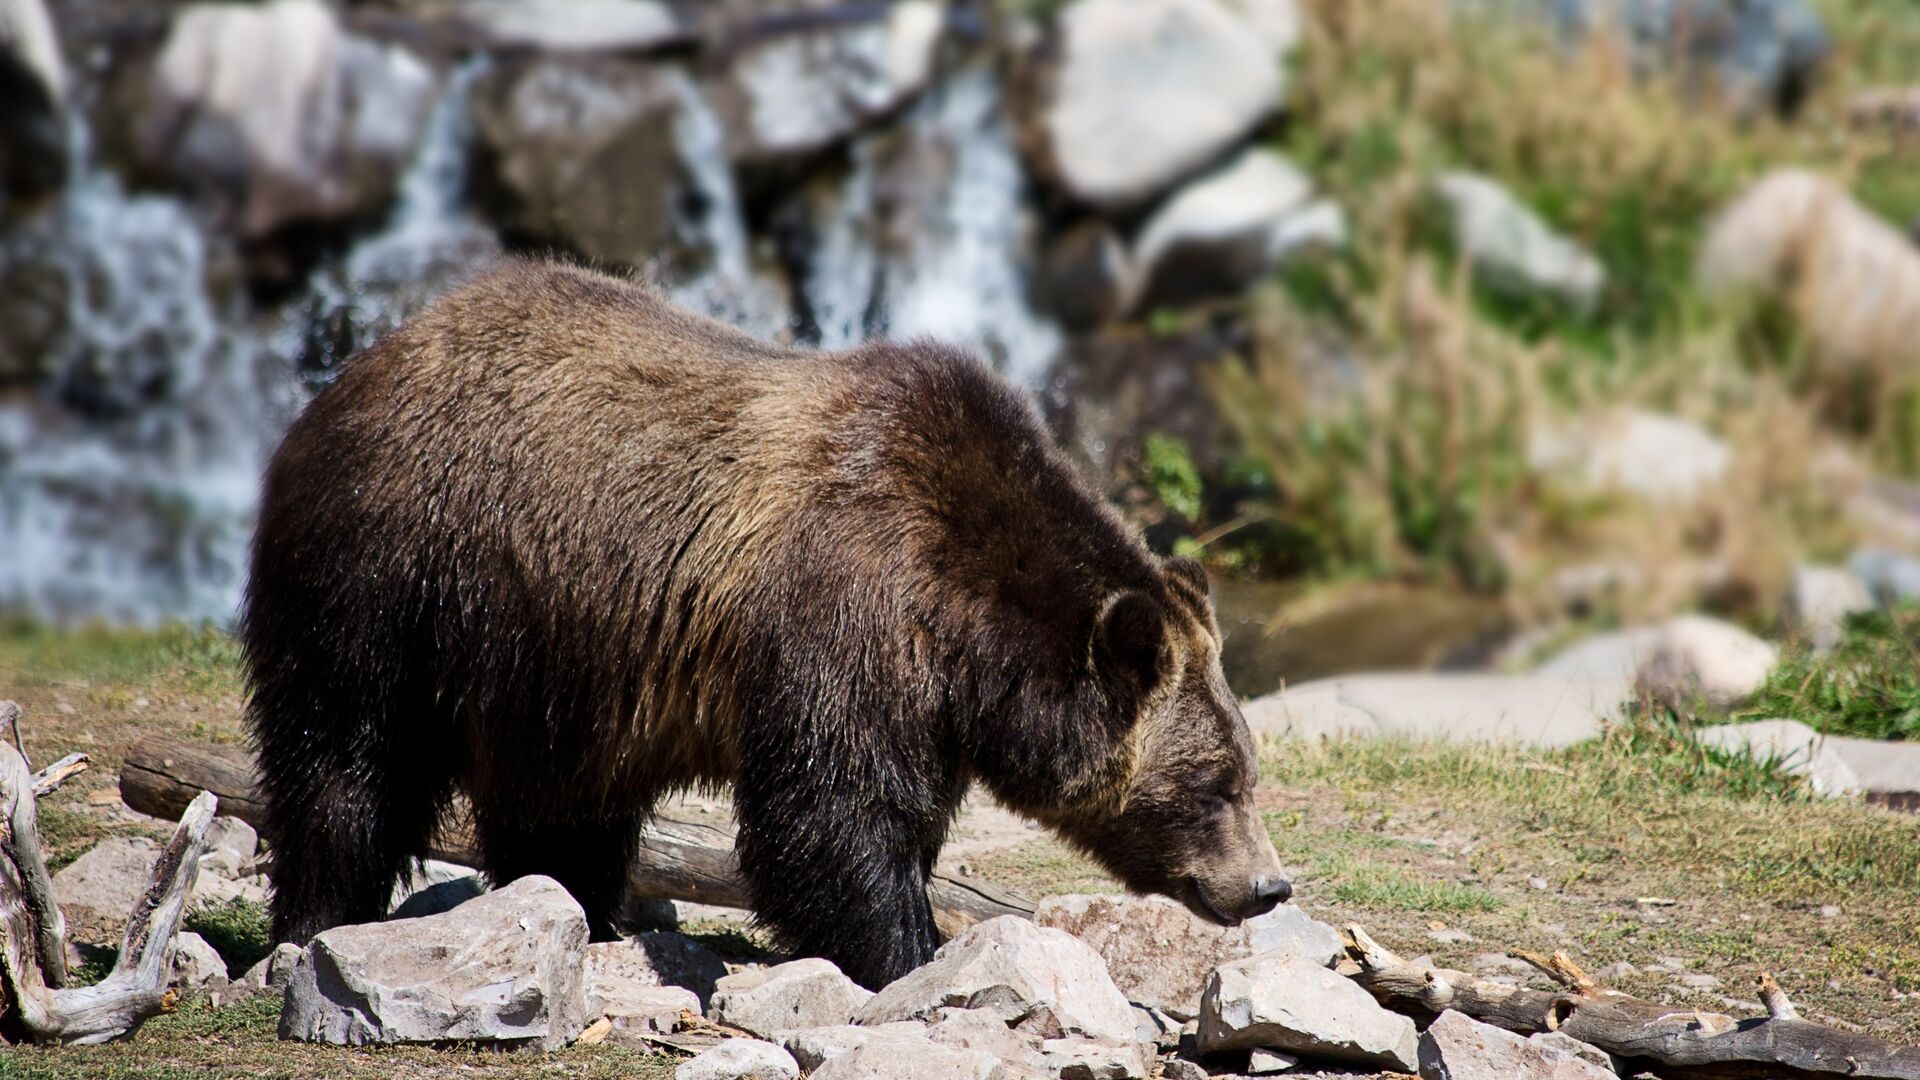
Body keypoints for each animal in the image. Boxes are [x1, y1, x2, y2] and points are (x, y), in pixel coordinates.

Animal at [243, 261, 1290, 983]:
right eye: (1218, 783)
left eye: (1246, 770)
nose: (1267, 886)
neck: (967, 629)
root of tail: (361, 364)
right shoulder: (846, 608)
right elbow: (830, 814)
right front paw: (906, 952)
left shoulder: (927, 699)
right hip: (394, 571)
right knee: (348, 755)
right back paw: (318, 918)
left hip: (551, 656)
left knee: (561, 802)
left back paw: (580, 909)